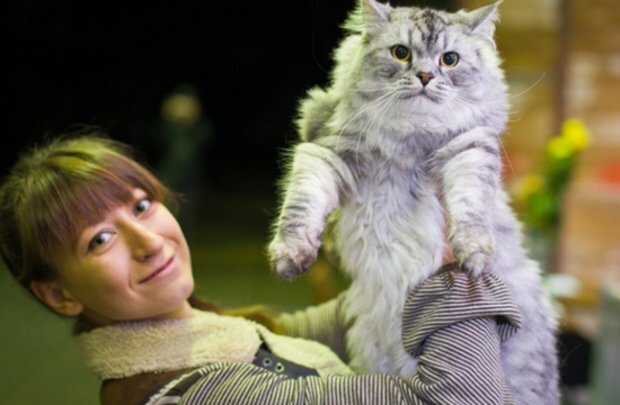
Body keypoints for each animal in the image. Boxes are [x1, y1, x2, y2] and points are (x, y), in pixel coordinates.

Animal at [268, 0, 559, 403]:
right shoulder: (323, 153)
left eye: (450, 59)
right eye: (401, 53)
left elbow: (471, 210)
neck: (409, 140)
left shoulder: (470, 151)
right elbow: (300, 209)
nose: (424, 76)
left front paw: (474, 255)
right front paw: (291, 258)